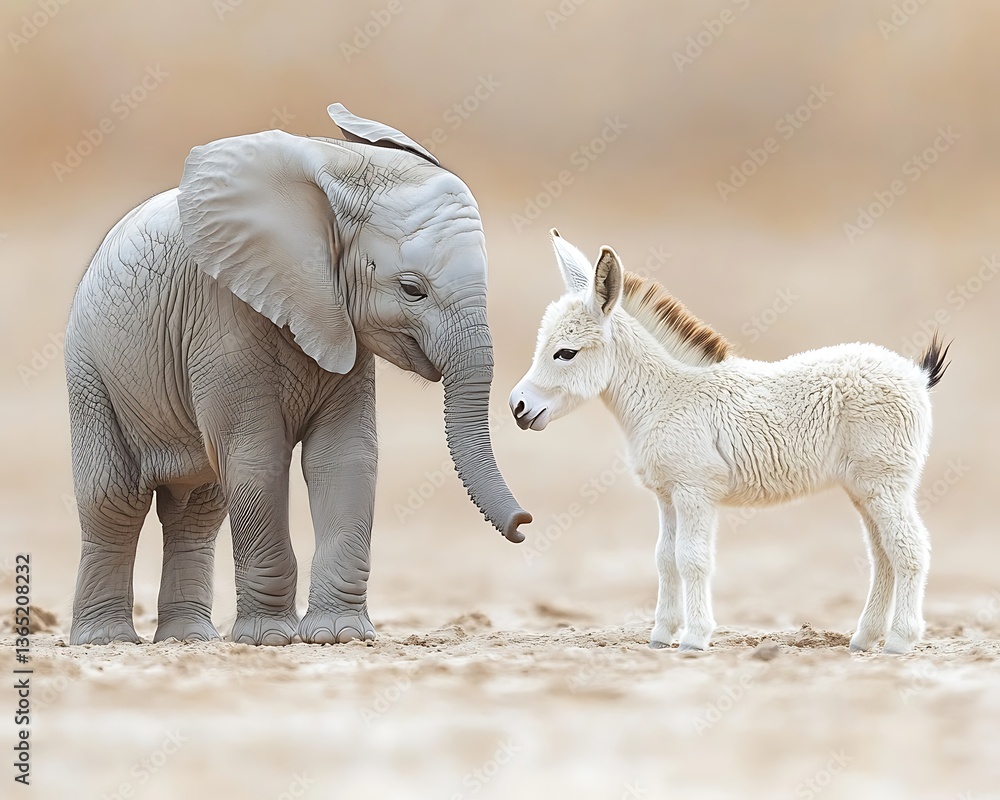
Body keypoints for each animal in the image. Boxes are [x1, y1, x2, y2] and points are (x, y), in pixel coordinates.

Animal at [65, 103, 532, 646]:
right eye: (412, 289)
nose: (523, 524)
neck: (338, 170)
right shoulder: (223, 314)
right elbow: (256, 461)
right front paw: (269, 639)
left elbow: (345, 458)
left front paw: (339, 636)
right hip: (90, 370)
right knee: (113, 500)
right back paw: (108, 641)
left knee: (198, 508)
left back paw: (189, 639)